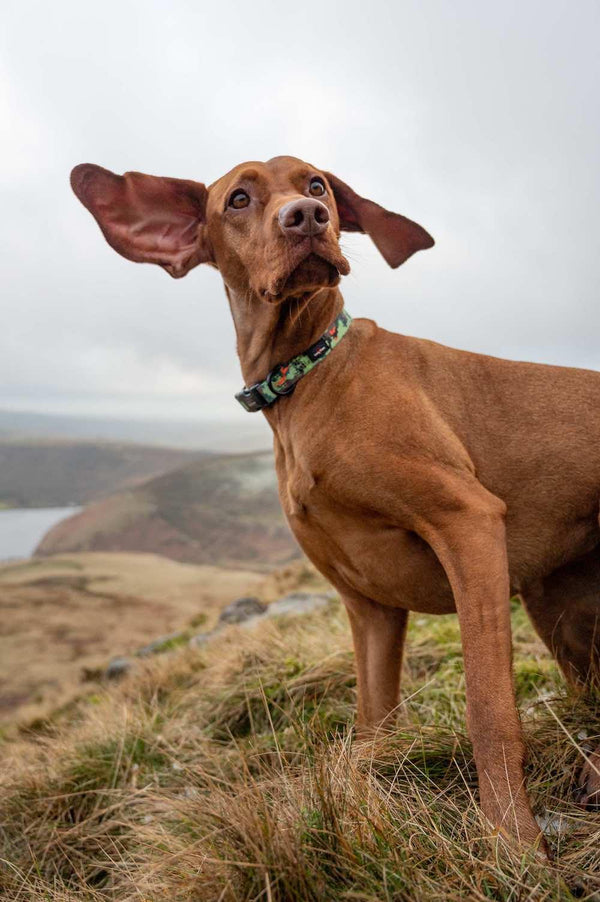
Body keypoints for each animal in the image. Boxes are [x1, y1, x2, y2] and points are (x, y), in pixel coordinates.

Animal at [71, 157, 600, 856]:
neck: (306, 379)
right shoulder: (370, 606)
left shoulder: (469, 523)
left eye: (316, 184)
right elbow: (374, 724)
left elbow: (489, 709)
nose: (308, 217)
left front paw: (512, 842)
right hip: (561, 609)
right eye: (238, 199)